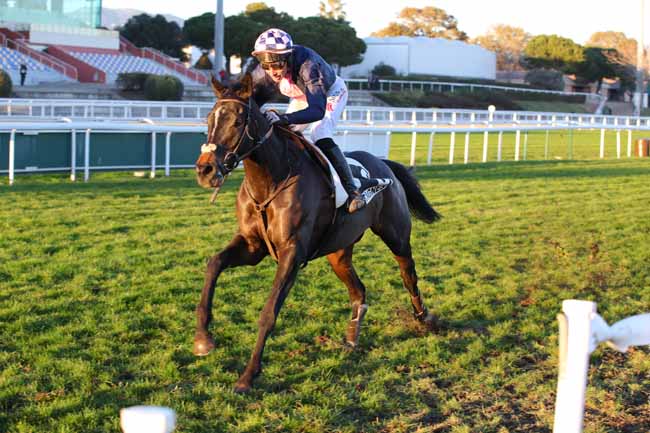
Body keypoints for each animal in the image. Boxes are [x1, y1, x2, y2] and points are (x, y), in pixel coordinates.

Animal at [190, 73, 438, 392]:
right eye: (209, 119)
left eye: (236, 121)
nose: (205, 171)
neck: (270, 181)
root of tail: (383, 164)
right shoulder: (252, 245)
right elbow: (214, 264)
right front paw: (203, 339)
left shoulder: (292, 253)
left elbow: (269, 312)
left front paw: (248, 375)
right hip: (338, 252)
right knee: (359, 290)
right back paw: (351, 337)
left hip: (396, 235)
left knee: (408, 274)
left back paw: (424, 316)